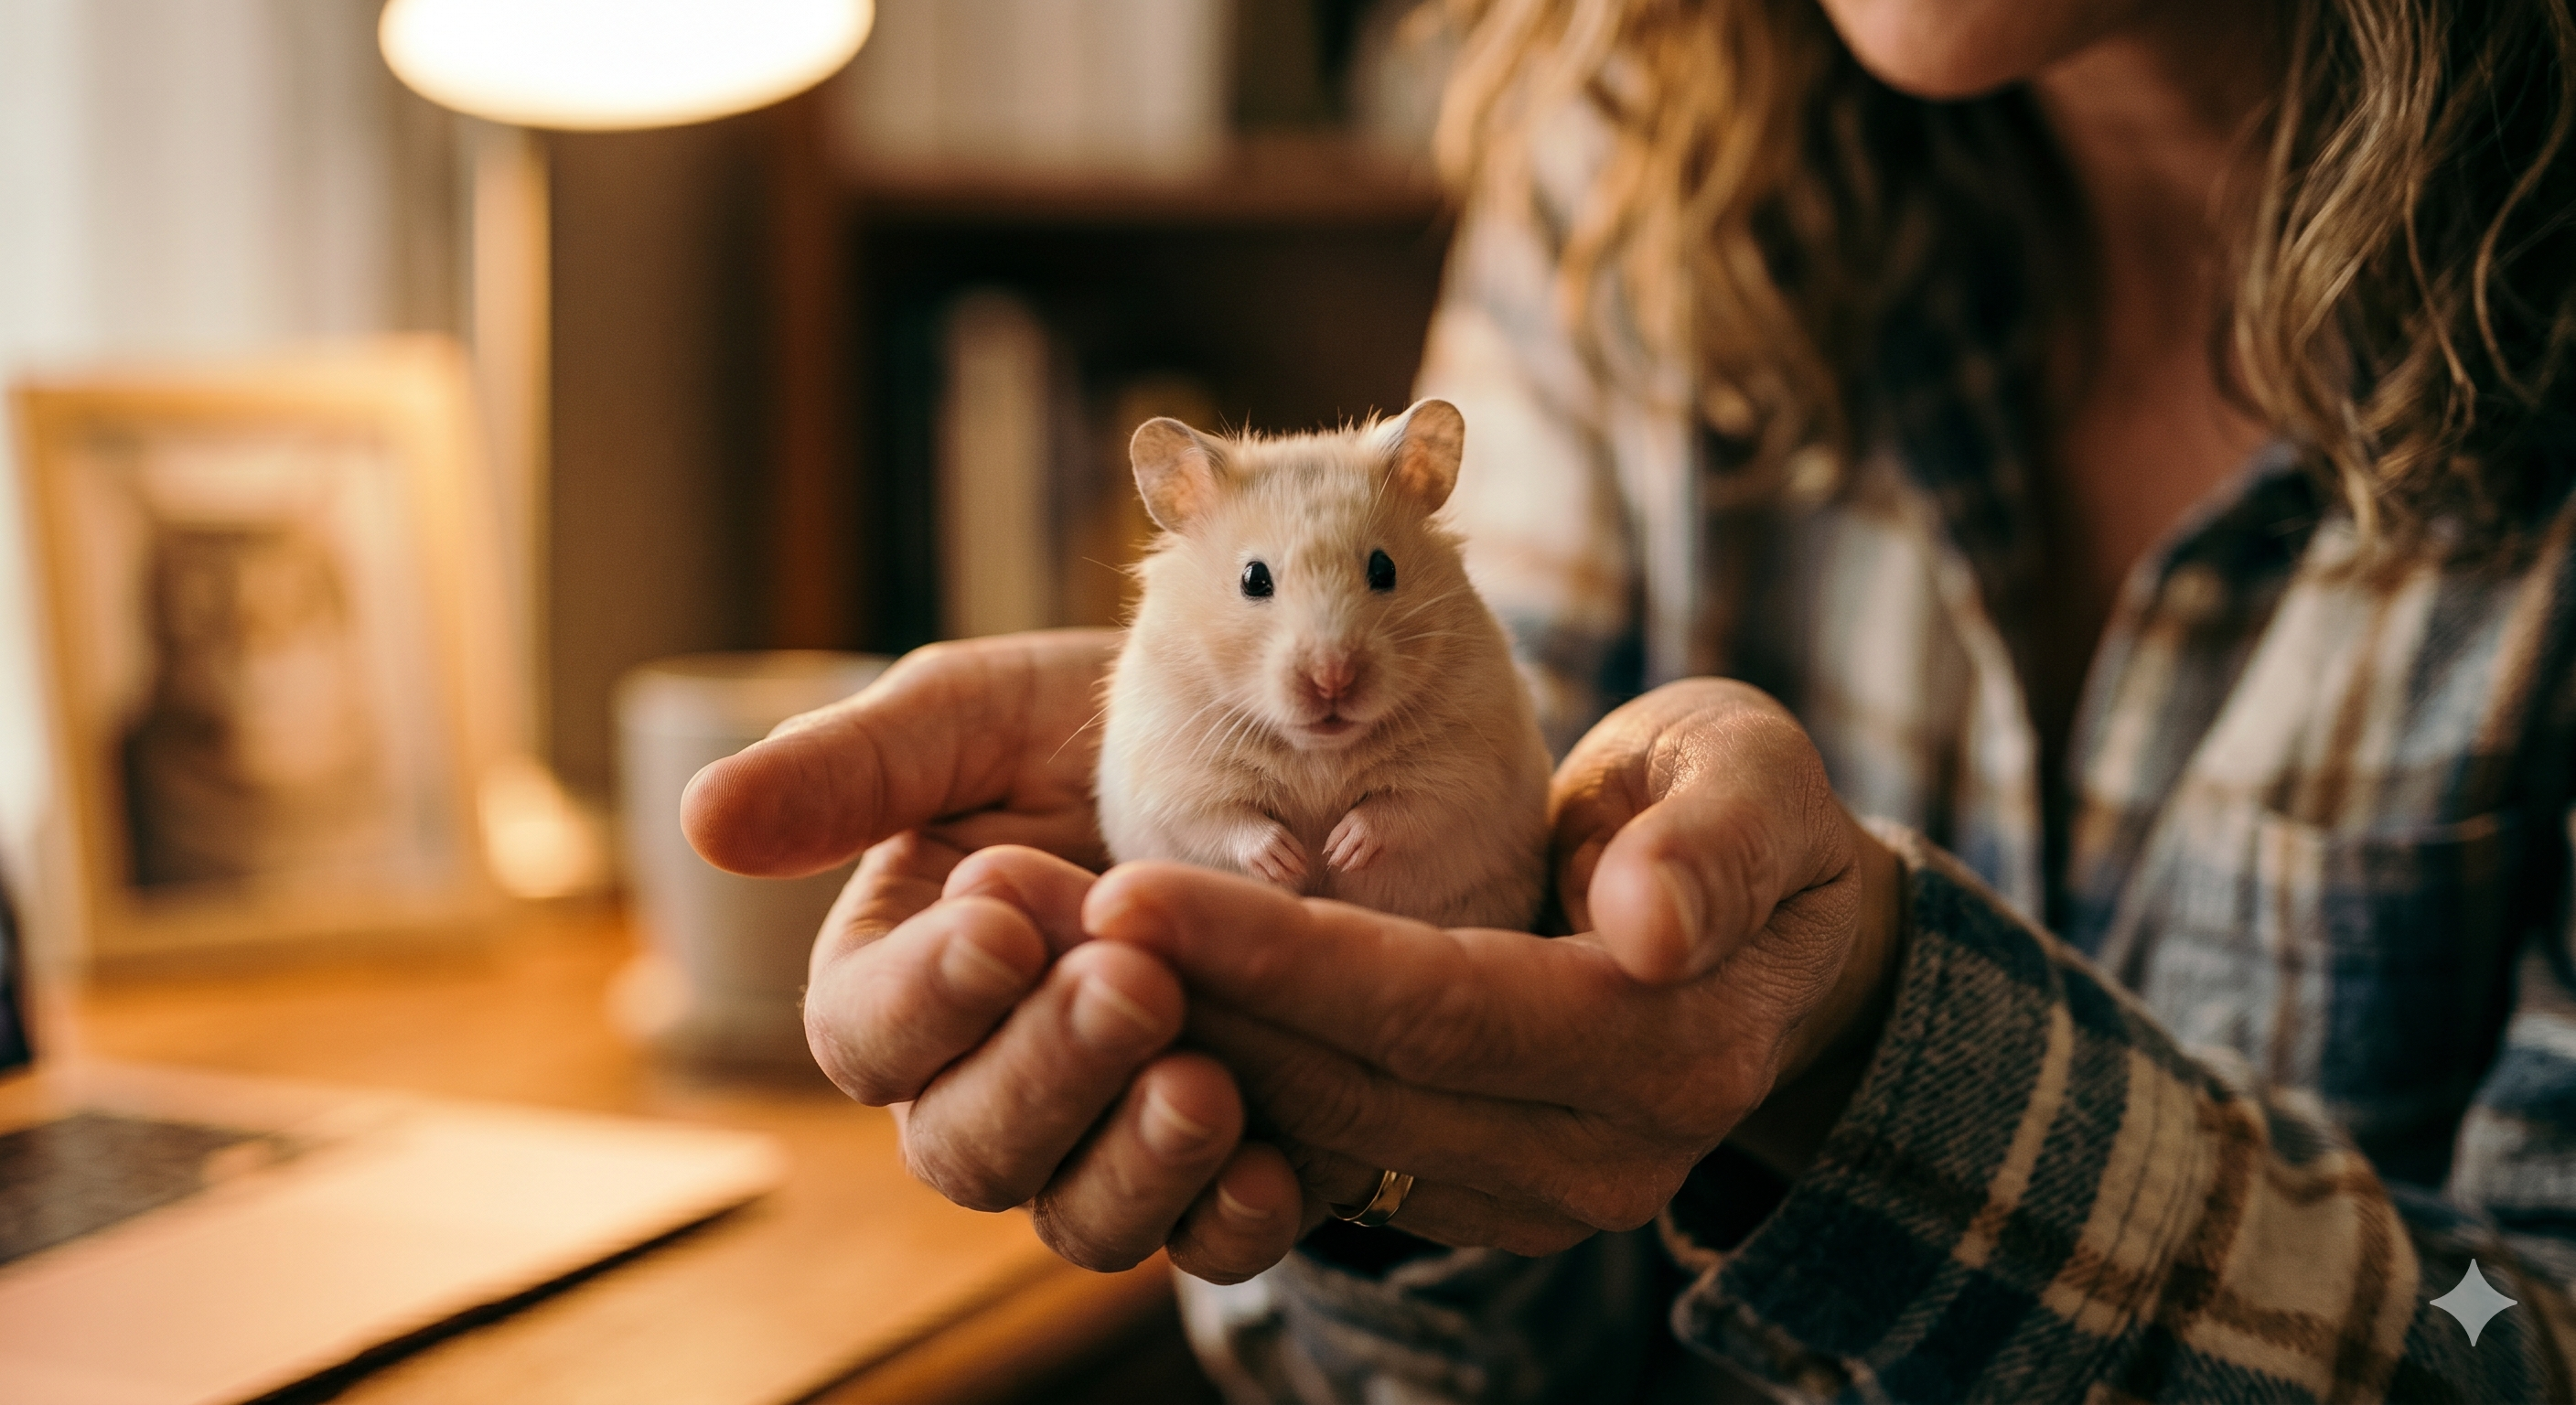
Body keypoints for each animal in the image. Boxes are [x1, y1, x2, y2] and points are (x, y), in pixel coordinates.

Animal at [1094, 398, 1552, 931]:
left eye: (1384, 569)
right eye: (1253, 578)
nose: (1332, 679)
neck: (1319, 753)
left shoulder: (1465, 758)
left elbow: (1408, 806)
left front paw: (1340, 851)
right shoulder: (1176, 771)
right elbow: (1223, 820)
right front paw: (1289, 860)